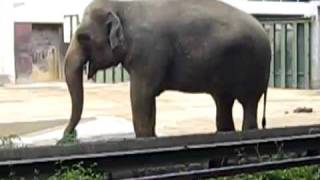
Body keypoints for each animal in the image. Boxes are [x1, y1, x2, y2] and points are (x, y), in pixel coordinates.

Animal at [62, 0, 270, 139]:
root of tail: (265, 32)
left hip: (254, 67)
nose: (67, 136)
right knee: (223, 103)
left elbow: (141, 97)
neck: (122, 6)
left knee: (249, 104)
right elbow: (146, 101)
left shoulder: (149, 53)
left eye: (82, 37)